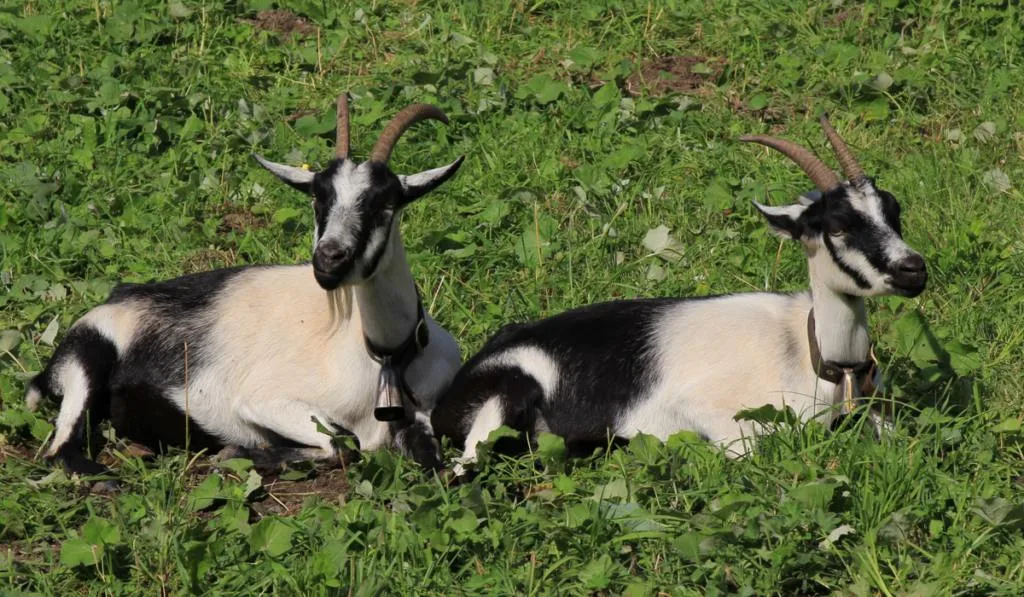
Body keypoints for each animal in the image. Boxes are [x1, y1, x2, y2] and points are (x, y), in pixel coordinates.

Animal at [428, 115, 925, 471]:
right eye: (837, 227)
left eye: (893, 210)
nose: (913, 270)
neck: (810, 354)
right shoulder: (713, 417)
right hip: (504, 398)